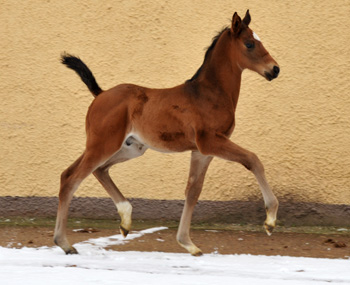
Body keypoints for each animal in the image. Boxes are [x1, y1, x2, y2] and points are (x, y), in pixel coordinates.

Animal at [54, 10, 278, 255]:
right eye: (249, 44)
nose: (275, 69)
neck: (209, 93)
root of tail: (100, 94)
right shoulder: (210, 141)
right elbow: (253, 160)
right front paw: (270, 220)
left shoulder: (202, 151)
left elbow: (193, 191)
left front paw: (188, 244)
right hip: (103, 144)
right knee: (72, 178)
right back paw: (64, 243)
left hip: (128, 148)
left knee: (92, 171)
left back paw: (125, 220)